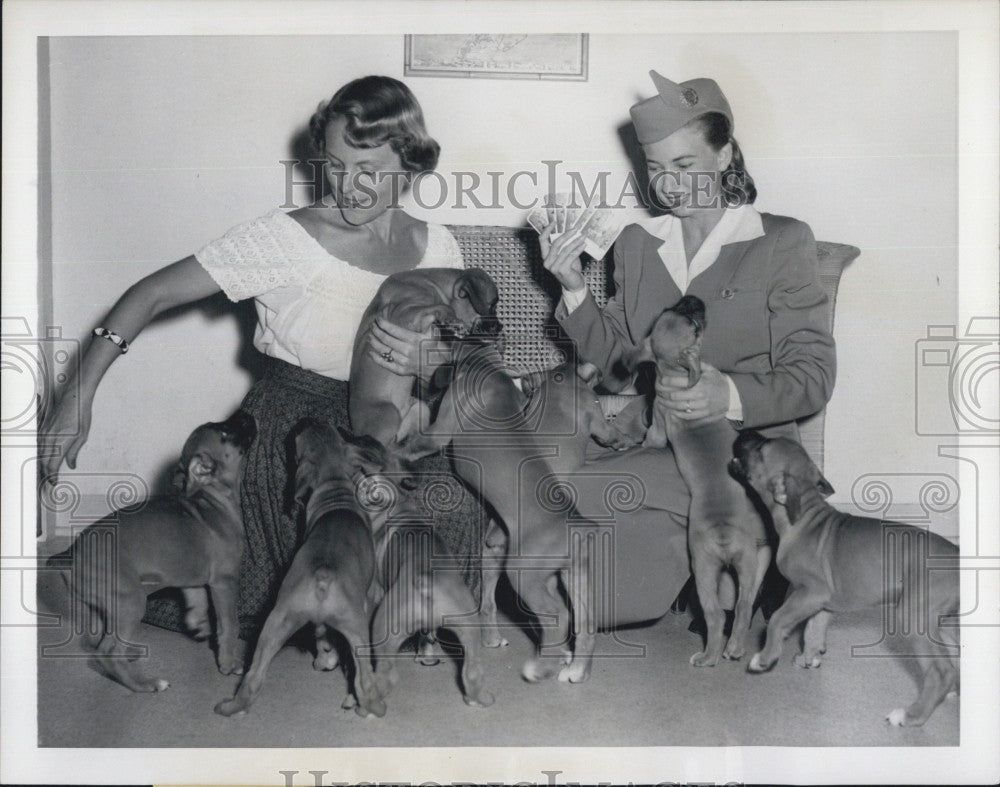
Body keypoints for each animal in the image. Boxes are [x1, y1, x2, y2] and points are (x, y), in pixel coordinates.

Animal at [48, 410, 256, 692]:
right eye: (225, 433)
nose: (247, 415)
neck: (212, 500)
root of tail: (71, 555)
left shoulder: (192, 577)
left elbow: (197, 598)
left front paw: (197, 624)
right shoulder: (224, 582)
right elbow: (229, 625)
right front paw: (228, 663)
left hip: (103, 607)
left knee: (95, 642)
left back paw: (130, 656)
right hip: (131, 601)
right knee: (109, 652)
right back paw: (145, 684)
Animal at [215, 424, 386, 720]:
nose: (305, 420)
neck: (334, 485)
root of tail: (322, 578)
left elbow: (323, 638)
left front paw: (325, 658)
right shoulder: (372, 595)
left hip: (275, 624)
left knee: (252, 678)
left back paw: (231, 707)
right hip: (356, 628)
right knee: (363, 680)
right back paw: (373, 707)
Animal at [350, 268, 500, 446]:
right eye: (492, 306)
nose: (500, 328)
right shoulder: (401, 314)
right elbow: (442, 306)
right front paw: (454, 322)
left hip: (419, 409)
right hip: (390, 414)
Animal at [624, 298, 772, 668]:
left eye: (686, 316)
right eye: (693, 324)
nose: (691, 299)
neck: (676, 374)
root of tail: (723, 530)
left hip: (722, 569)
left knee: (729, 612)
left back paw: (719, 653)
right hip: (729, 567)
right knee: (733, 611)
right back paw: (722, 653)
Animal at [732, 430, 956, 728]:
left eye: (761, 448)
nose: (743, 432)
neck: (804, 517)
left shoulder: (810, 592)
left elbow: (778, 619)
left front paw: (766, 657)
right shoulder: (821, 602)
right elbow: (813, 630)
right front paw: (808, 658)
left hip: (913, 617)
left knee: (940, 672)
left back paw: (911, 715)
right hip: (946, 624)